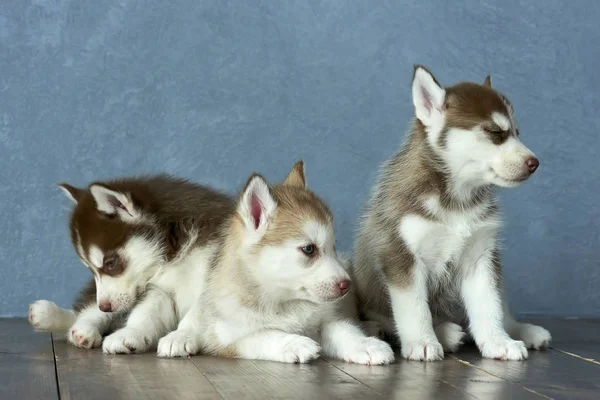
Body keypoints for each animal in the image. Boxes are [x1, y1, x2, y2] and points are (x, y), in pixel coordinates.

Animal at [28, 175, 234, 354]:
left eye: (110, 263)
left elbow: (199, 313)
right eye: (90, 269)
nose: (104, 306)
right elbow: (145, 313)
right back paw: (68, 322)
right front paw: (130, 333)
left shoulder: (217, 281)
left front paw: (181, 335)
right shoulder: (160, 289)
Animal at [157, 161, 396, 364]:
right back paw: (178, 337)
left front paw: (366, 345)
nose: (347, 285)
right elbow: (263, 335)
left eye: (333, 247)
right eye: (309, 249)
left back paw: (370, 326)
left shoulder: (325, 319)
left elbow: (344, 330)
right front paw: (294, 343)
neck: (284, 302)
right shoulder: (227, 339)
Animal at [352, 66, 552, 362]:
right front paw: (423, 342)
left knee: (502, 307)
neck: (457, 199)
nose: (534, 163)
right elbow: (414, 308)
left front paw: (498, 341)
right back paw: (439, 332)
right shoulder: (401, 254)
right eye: (495, 132)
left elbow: (490, 306)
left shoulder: (481, 256)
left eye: (517, 132)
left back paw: (523, 331)